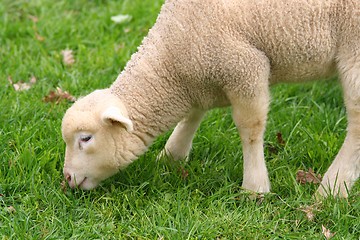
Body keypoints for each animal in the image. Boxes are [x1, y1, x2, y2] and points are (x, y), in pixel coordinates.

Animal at [62, 0, 360, 197]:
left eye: (85, 138)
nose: (67, 178)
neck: (170, 64)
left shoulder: (245, 67)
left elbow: (250, 129)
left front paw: (255, 188)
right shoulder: (201, 77)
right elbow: (192, 115)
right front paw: (171, 156)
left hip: (354, 48)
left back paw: (333, 188)